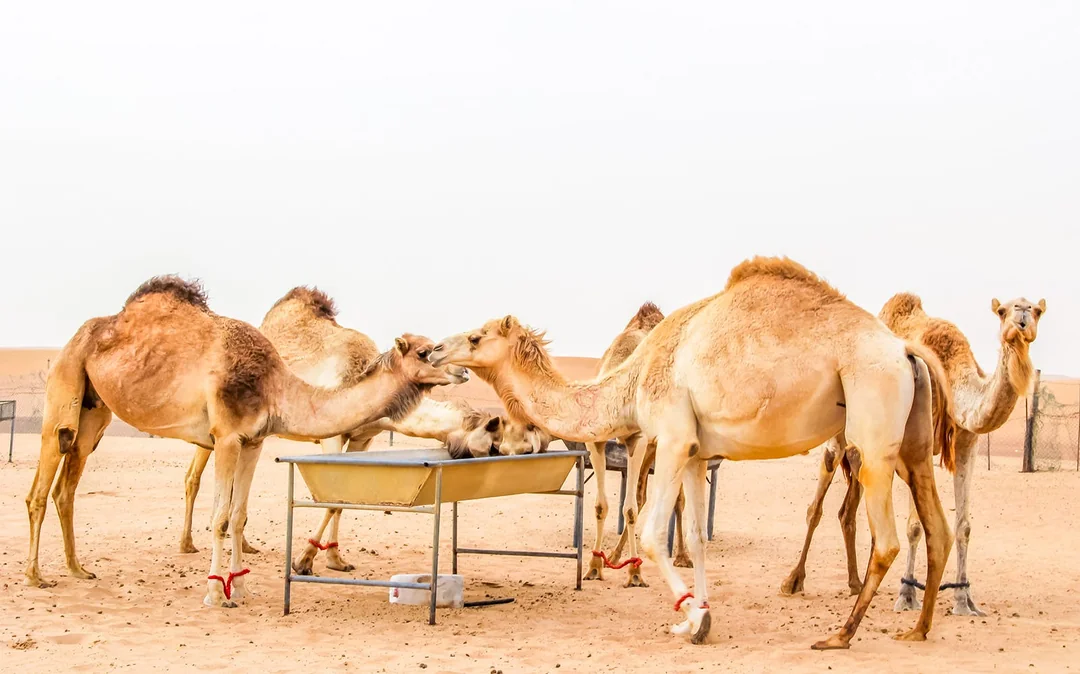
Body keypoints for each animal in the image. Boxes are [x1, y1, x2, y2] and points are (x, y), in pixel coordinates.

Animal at [25, 276, 455, 608]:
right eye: (425, 351)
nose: (459, 371)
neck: (273, 386)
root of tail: (78, 336)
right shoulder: (228, 437)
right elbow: (219, 517)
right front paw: (217, 594)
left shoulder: (253, 442)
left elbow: (238, 516)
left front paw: (243, 588)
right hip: (64, 387)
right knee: (41, 487)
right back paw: (35, 575)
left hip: (94, 413)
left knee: (66, 488)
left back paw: (77, 568)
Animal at [430, 256, 959, 649]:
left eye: (475, 337)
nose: (434, 350)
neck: (632, 379)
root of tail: (905, 349)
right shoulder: (697, 453)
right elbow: (699, 539)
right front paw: (701, 613)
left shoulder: (671, 437)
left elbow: (650, 534)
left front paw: (689, 618)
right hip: (912, 444)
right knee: (938, 527)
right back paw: (918, 628)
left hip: (872, 423)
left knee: (887, 539)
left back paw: (841, 633)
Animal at [781, 292, 1044, 618]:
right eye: (1002, 311)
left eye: (1037, 310)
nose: (1022, 318)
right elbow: (915, 526)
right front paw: (907, 595)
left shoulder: (967, 442)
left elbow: (964, 526)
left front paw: (964, 600)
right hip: (836, 437)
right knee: (816, 506)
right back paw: (793, 581)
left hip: (865, 450)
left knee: (848, 512)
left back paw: (856, 583)